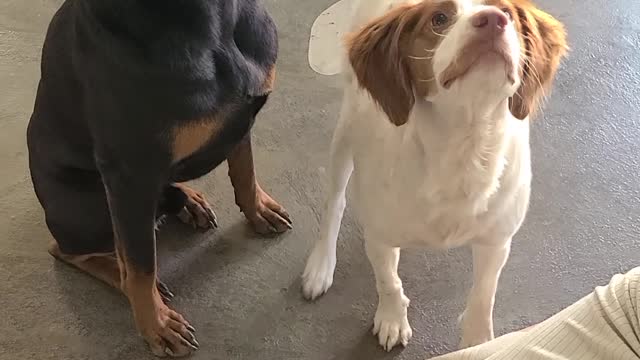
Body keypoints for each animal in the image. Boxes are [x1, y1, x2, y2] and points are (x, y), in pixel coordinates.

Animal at [26, 0, 290, 356]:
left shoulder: (241, 116)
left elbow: (245, 168)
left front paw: (259, 209)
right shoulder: (129, 175)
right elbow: (140, 266)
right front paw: (158, 325)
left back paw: (188, 202)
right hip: (87, 208)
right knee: (71, 250)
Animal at [302, 0, 568, 352]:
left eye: (507, 13)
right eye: (439, 19)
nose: (493, 20)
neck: (463, 144)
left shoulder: (496, 240)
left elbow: (484, 296)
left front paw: (478, 341)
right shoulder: (379, 236)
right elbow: (389, 281)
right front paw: (392, 318)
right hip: (346, 130)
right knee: (334, 202)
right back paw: (320, 265)